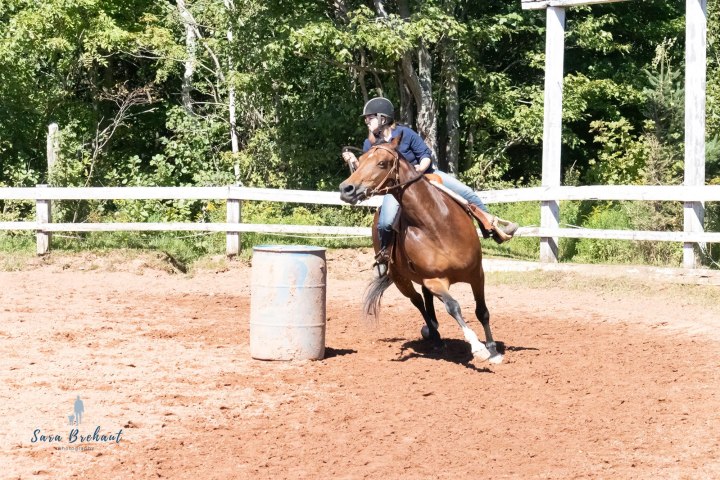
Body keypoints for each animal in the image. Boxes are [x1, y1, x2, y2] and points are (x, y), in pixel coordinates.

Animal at [338, 133, 503, 364]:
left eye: (382, 163)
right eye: (359, 161)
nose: (346, 189)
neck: (436, 224)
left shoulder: (476, 273)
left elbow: (482, 311)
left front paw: (493, 350)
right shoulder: (434, 280)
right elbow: (453, 306)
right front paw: (477, 346)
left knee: (427, 300)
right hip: (401, 279)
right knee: (418, 301)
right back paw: (435, 336)